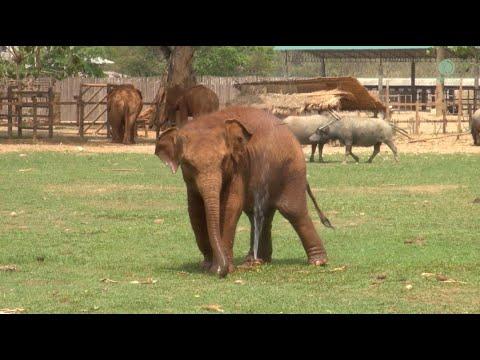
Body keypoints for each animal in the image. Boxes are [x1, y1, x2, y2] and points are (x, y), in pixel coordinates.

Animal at [156, 105, 332, 278]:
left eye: (224, 160)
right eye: (188, 164)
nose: (218, 271)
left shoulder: (240, 166)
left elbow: (230, 206)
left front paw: (223, 268)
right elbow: (195, 211)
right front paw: (206, 266)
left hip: (292, 169)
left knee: (293, 211)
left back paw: (318, 262)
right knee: (259, 215)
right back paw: (255, 262)